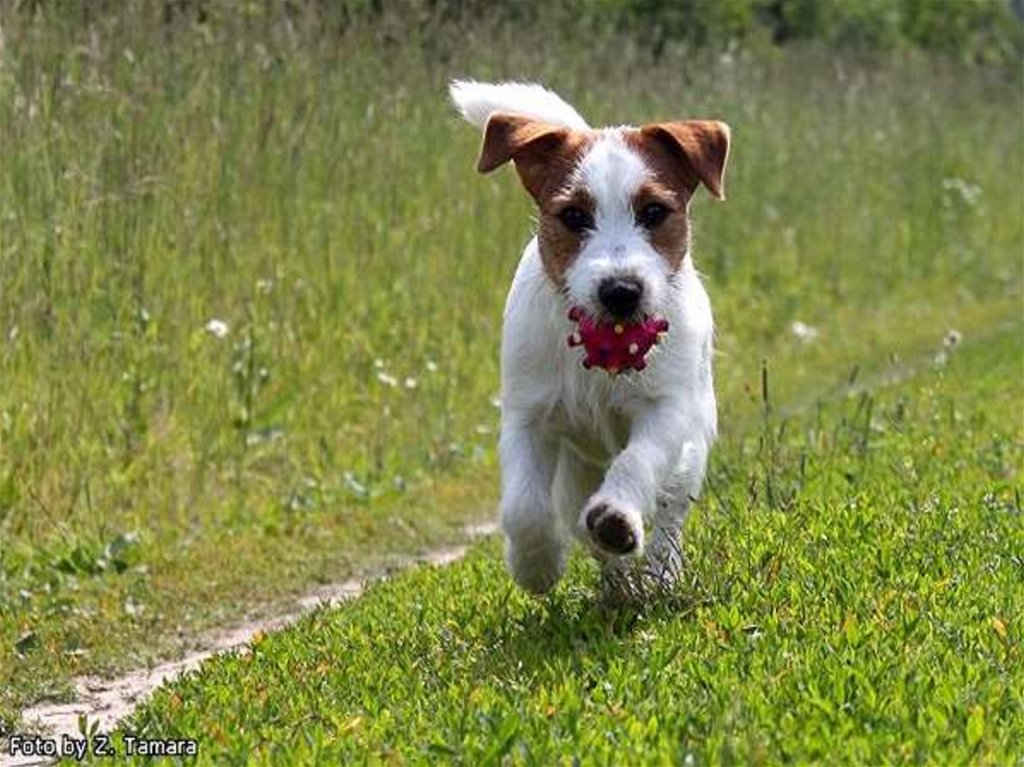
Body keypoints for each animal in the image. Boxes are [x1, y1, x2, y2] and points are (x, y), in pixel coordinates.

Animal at [448, 79, 729, 593]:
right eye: (574, 216)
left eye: (654, 211)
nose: (621, 291)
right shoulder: (528, 416)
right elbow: (524, 507)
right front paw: (536, 564)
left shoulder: (667, 409)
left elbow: (638, 462)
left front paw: (617, 518)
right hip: (574, 467)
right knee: (578, 517)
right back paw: (616, 583)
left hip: (692, 444)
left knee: (669, 508)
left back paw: (658, 573)